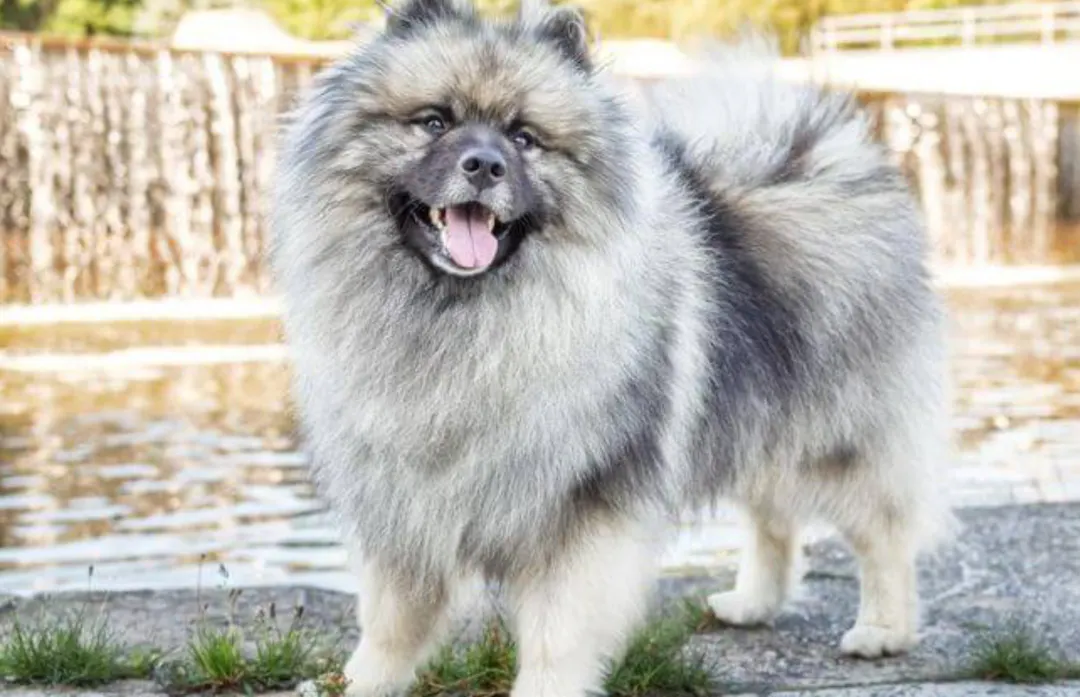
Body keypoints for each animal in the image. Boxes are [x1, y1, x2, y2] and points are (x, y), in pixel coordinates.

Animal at [269, 1, 953, 695]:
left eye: (524, 138)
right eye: (435, 121)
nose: (484, 165)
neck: (465, 321)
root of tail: (813, 160)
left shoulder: (580, 511)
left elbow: (557, 636)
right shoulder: (404, 503)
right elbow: (390, 622)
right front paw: (361, 681)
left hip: (835, 440)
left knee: (882, 535)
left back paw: (883, 630)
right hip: (760, 422)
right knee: (773, 521)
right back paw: (752, 603)